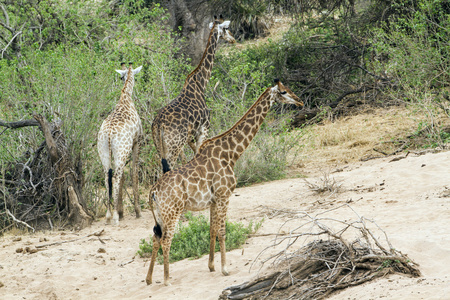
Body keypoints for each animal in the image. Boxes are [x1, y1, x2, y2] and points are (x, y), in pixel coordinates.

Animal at [97, 63, 143, 227]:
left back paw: (109, 215)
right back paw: (115, 217)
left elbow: (123, 177)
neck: (125, 97)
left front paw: (122, 212)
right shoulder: (137, 142)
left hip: (104, 150)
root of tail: (109, 134)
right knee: (116, 175)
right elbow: (134, 172)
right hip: (121, 150)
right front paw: (137, 211)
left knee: (107, 176)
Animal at [146, 79, 304, 286]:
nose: (300, 101)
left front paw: (212, 266)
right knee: (166, 240)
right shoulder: (224, 195)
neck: (231, 154)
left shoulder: (213, 200)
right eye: (284, 92)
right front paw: (225, 268)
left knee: (155, 238)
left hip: (159, 214)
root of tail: (153, 192)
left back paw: (149, 279)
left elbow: (212, 230)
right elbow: (222, 231)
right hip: (172, 212)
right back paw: (166, 280)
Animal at [151, 15, 236, 173]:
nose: (233, 39)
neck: (201, 83)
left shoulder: (191, 137)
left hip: (160, 147)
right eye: (226, 28)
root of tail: (158, 125)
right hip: (174, 146)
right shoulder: (204, 128)